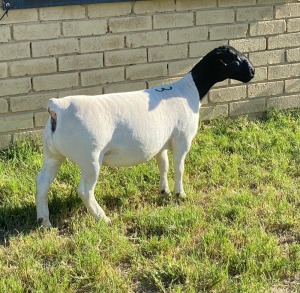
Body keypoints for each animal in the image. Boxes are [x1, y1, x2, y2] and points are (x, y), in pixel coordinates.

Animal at [36, 45, 254, 226]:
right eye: (234, 57)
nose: (252, 72)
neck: (190, 90)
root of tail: (57, 107)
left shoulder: (161, 143)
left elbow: (163, 166)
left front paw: (164, 191)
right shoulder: (182, 140)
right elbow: (179, 168)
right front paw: (180, 194)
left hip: (53, 153)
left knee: (42, 181)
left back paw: (44, 220)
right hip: (90, 157)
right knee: (85, 190)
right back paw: (103, 218)